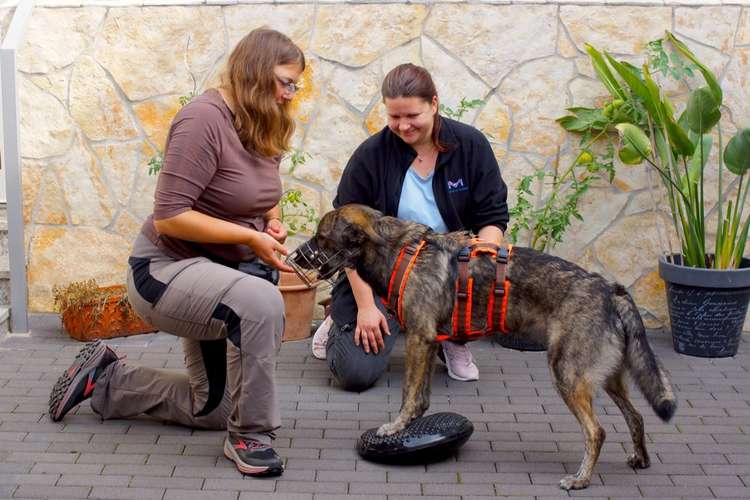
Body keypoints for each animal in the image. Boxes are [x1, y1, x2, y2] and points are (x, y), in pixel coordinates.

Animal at [296, 205, 680, 490]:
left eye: (321, 237)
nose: (297, 258)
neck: (397, 250)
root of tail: (609, 289)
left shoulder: (419, 337)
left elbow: (407, 395)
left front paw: (396, 428)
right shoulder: (428, 341)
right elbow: (421, 398)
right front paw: (412, 423)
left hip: (568, 375)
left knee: (596, 431)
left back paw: (581, 479)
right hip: (607, 377)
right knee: (635, 415)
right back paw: (640, 458)